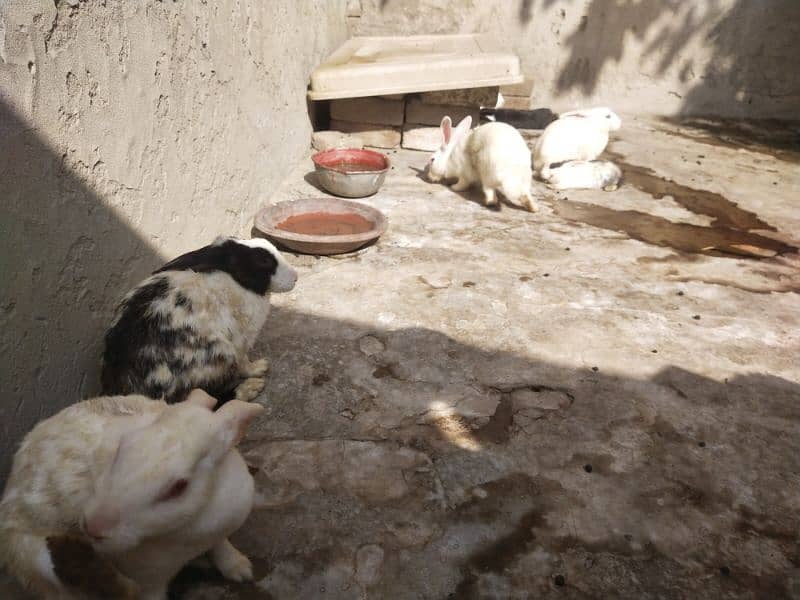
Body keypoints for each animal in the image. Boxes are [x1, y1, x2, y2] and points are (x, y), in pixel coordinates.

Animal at [0, 386, 262, 596]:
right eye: (122, 447)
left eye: (179, 487)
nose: (93, 527)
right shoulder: (150, 582)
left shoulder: (221, 530)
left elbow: (221, 544)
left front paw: (239, 568)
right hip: (37, 559)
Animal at [102, 237, 296, 406]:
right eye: (264, 261)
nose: (295, 277)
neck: (238, 281)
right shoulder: (241, 341)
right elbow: (244, 363)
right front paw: (260, 367)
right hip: (219, 353)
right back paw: (251, 388)